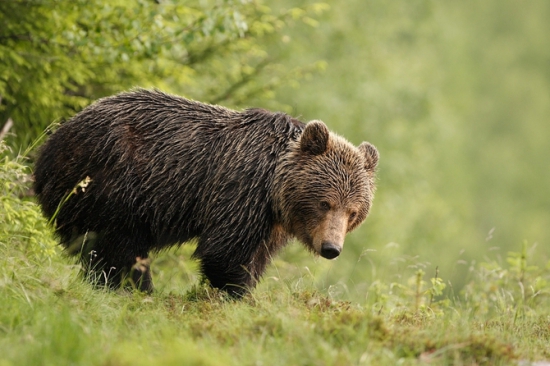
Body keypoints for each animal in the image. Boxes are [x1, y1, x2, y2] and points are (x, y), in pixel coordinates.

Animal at [34, 89, 380, 298]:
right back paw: (136, 288)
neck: (275, 189)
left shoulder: (272, 222)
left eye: (353, 211)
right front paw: (236, 294)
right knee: (117, 246)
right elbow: (224, 252)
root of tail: (51, 143)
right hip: (112, 182)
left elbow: (258, 257)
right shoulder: (241, 190)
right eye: (325, 202)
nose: (331, 248)